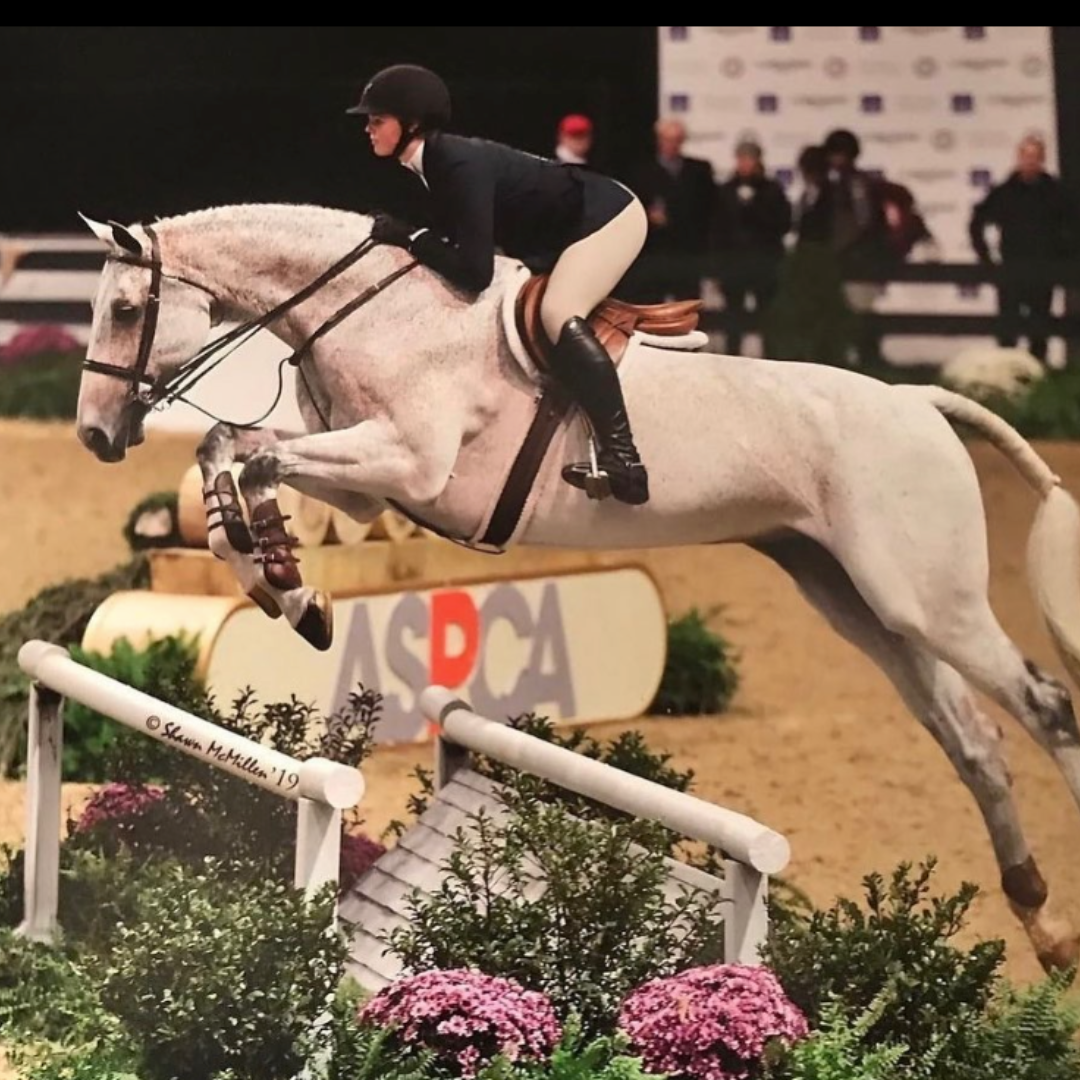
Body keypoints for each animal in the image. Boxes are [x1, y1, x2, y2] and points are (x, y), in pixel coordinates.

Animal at [75, 202, 1080, 973]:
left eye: (125, 308)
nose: (94, 435)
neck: (374, 313)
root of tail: (918, 401)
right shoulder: (369, 483)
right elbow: (232, 450)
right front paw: (289, 589)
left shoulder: (406, 464)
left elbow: (252, 455)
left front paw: (286, 579)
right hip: (859, 600)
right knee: (975, 739)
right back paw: (1040, 921)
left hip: (926, 597)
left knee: (1046, 708)